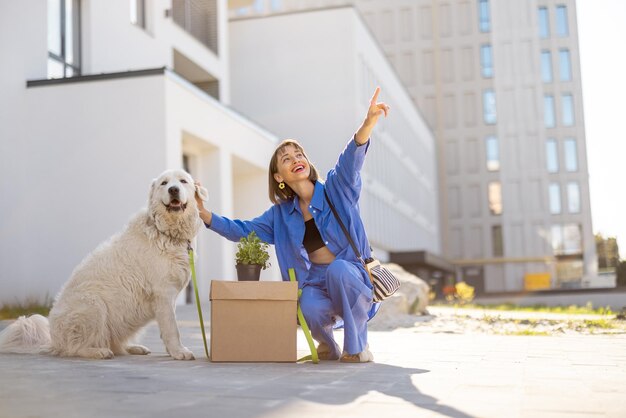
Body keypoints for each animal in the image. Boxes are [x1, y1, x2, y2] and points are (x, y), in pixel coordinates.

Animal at [0, 169, 208, 360]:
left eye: (183, 181)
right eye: (164, 183)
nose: (173, 189)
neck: (167, 233)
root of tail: (53, 341)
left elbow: (169, 327)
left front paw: (173, 351)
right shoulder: (163, 294)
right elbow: (172, 328)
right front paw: (179, 352)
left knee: (113, 342)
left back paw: (133, 348)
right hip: (93, 305)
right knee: (74, 348)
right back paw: (98, 351)